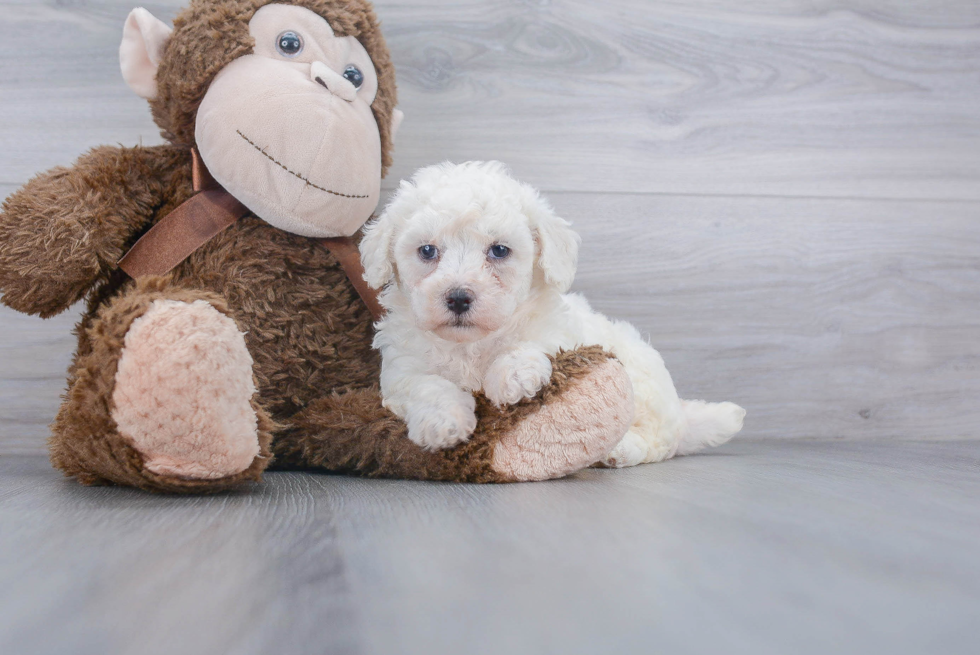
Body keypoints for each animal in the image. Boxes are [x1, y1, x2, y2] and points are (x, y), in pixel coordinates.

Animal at [360, 160, 744, 466]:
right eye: (427, 251)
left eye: (499, 250)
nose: (457, 298)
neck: (471, 344)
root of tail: (681, 414)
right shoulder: (402, 368)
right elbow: (427, 385)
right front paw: (443, 423)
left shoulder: (558, 333)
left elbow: (530, 343)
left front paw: (512, 376)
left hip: (643, 384)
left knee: (657, 442)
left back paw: (619, 451)